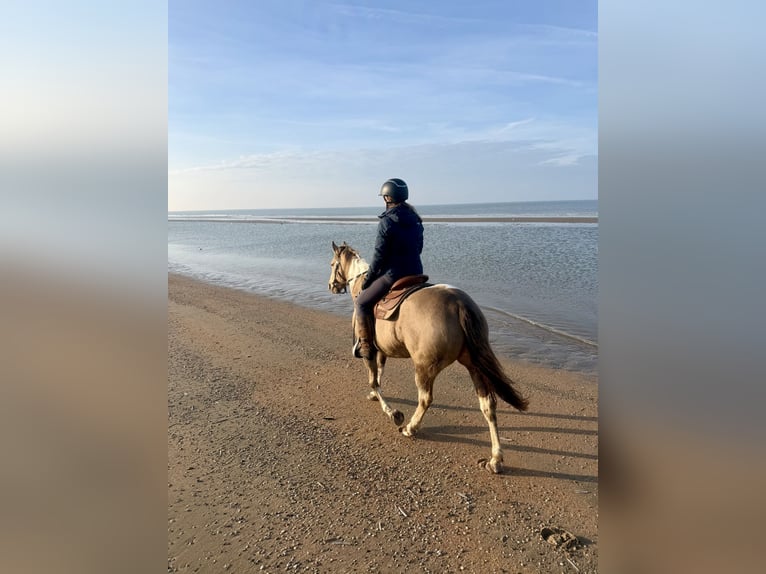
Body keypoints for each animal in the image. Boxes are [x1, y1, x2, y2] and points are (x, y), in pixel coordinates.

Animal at [328, 241, 529, 474]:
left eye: (332, 264)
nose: (331, 285)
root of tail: (459, 303)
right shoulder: (382, 351)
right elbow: (379, 373)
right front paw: (375, 396)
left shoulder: (368, 350)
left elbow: (373, 379)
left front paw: (392, 412)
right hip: (475, 367)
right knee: (488, 406)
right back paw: (495, 458)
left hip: (424, 367)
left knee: (425, 399)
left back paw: (411, 428)